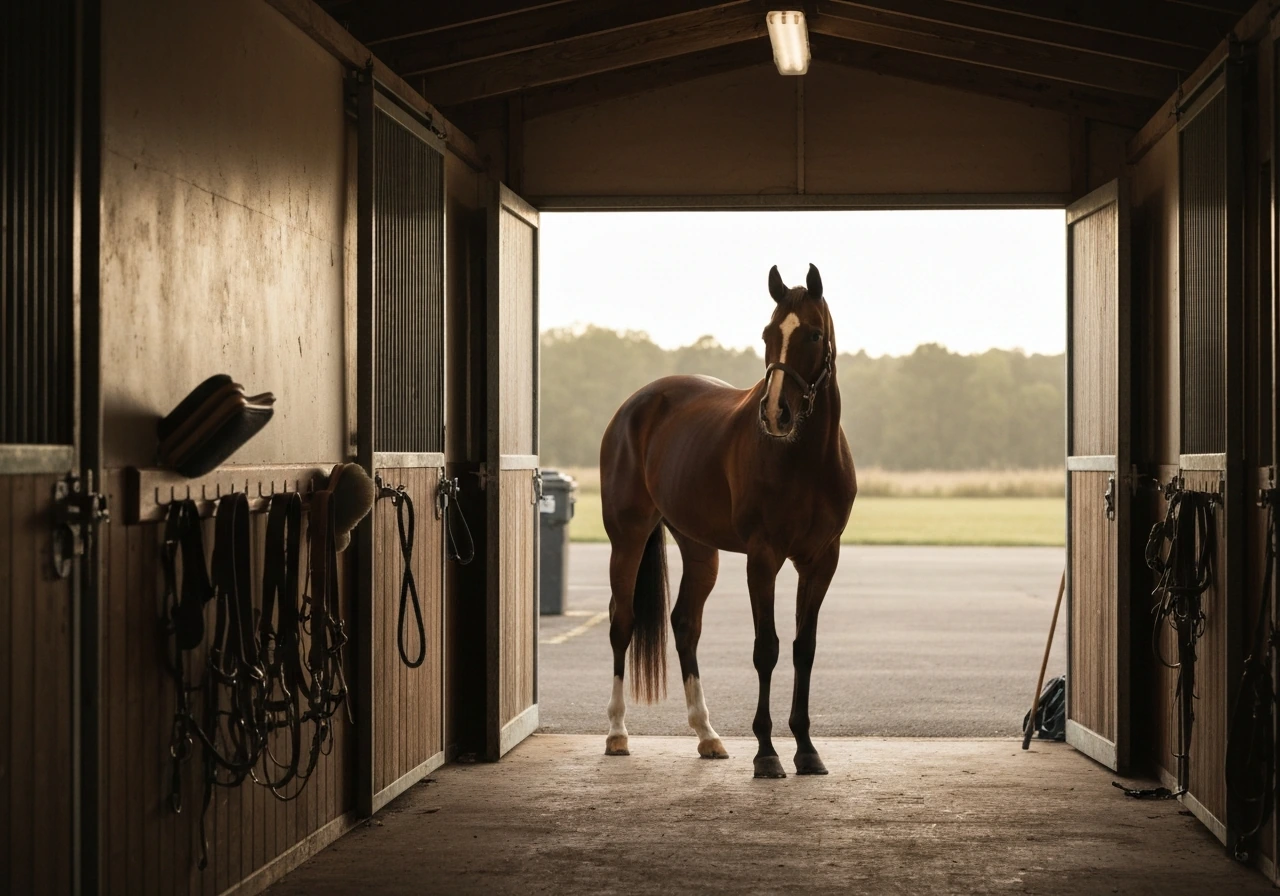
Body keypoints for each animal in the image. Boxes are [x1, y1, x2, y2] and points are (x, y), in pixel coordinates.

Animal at [599, 263, 857, 778]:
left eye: (814, 334)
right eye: (767, 334)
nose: (775, 413)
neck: (806, 459)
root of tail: (635, 406)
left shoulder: (821, 560)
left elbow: (803, 648)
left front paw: (806, 748)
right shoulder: (763, 557)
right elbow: (767, 649)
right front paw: (767, 752)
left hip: (700, 548)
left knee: (685, 624)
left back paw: (707, 734)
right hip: (627, 537)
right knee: (623, 621)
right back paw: (617, 733)